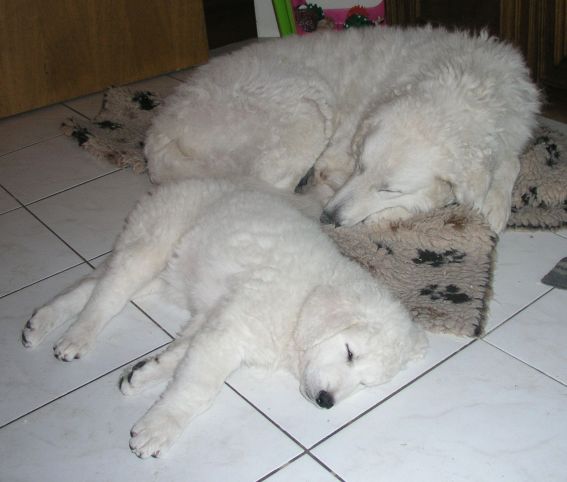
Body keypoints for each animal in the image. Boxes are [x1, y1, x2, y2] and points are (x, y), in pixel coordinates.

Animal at [22, 178, 426, 458]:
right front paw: (159, 428)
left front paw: (144, 373)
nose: (326, 401)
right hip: (150, 247)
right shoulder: (231, 330)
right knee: (106, 297)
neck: (301, 303)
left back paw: (42, 323)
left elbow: (179, 354)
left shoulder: (214, 317)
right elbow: (198, 387)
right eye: (349, 353)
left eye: (365, 383)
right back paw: (77, 335)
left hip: (164, 278)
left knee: (90, 285)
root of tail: (172, 185)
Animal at [144, 26, 540, 233]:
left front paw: (496, 202)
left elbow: (512, 162)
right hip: (305, 109)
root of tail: (159, 133)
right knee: (270, 189)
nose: (328, 218)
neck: (461, 81)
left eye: (389, 188)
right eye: (361, 167)